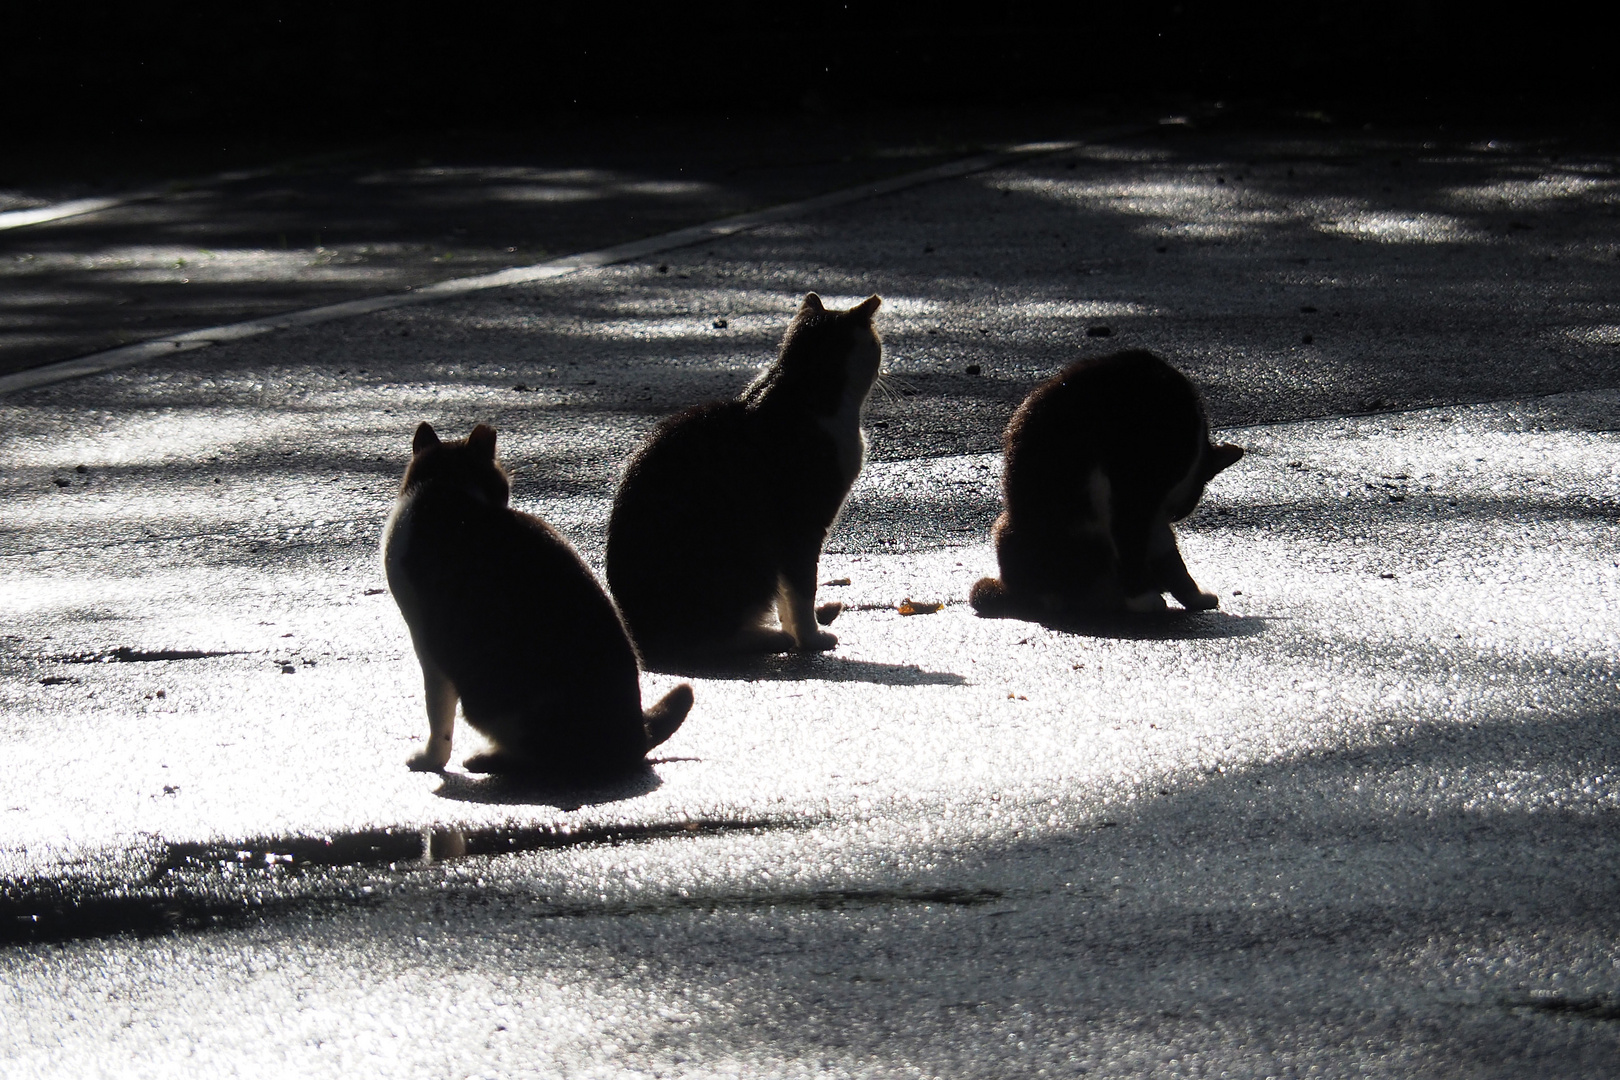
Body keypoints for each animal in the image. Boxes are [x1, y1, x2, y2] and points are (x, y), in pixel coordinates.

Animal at [382, 420, 693, 777]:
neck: (447, 490)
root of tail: (638, 736)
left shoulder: (429, 645)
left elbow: (438, 715)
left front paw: (431, 760)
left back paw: (488, 758)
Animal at [609, 293, 887, 667]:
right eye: (876, 343)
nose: (884, 366)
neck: (802, 389)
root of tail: (636, 637)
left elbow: (787, 596)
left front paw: (795, 626)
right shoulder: (801, 526)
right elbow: (802, 588)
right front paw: (810, 638)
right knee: (704, 642)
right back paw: (768, 637)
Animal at [965, 351, 1244, 621]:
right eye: (1183, 508)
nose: (1172, 516)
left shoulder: (1150, 513)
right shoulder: (1134, 491)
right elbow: (1132, 542)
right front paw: (1142, 598)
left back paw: (1194, 598)